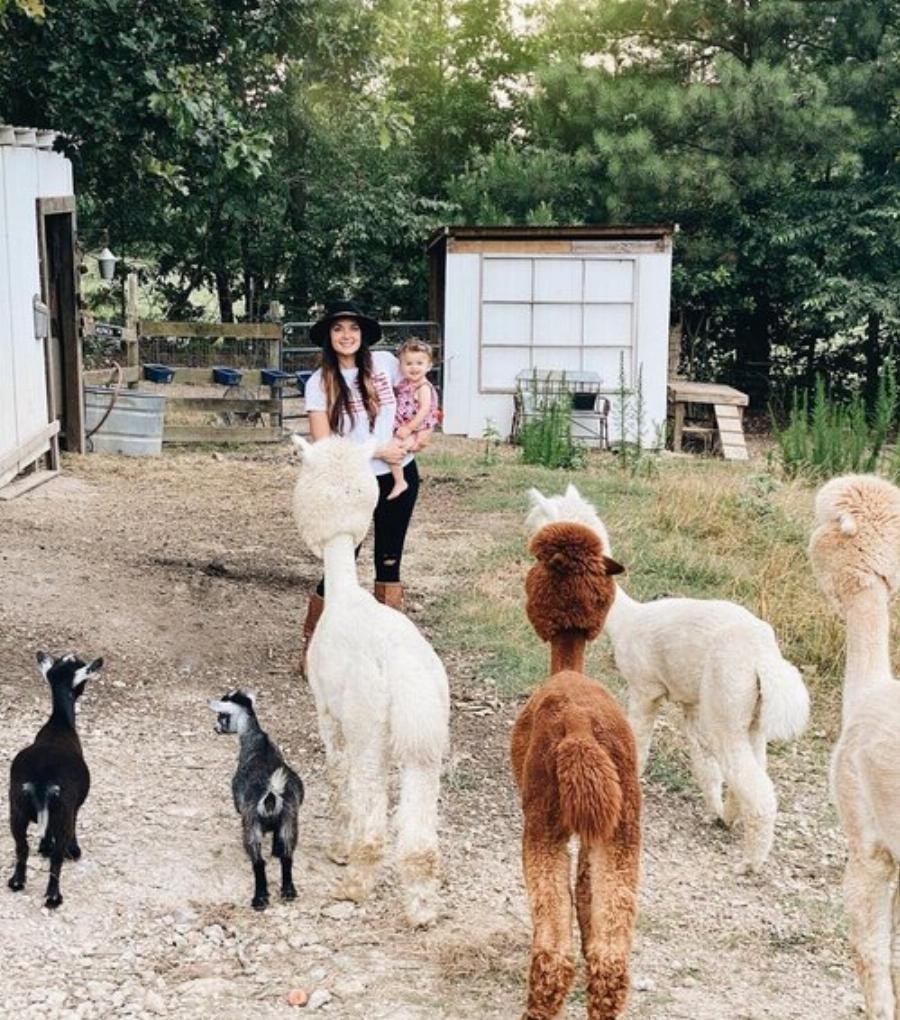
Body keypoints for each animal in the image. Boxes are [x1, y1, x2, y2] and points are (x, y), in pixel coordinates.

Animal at [8, 652, 102, 909]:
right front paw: (74, 849)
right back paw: (53, 897)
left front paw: (43, 847)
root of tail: (41, 780)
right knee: (57, 857)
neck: (59, 724)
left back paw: (17, 882)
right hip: (62, 811)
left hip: (16, 808)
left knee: (21, 847)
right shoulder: (72, 807)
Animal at [211, 689, 306, 913]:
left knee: (258, 862)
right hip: (290, 819)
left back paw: (259, 898)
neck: (256, 740)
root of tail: (271, 794)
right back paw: (288, 891)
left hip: (251, 823)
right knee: (288, 856)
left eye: (222, 716)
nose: (215, 728)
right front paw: (276, 851)